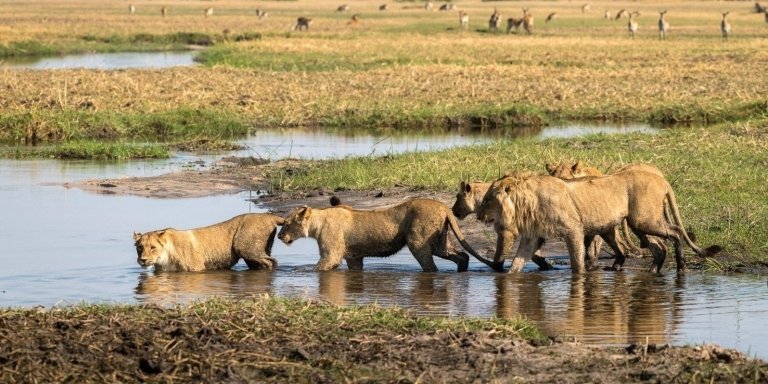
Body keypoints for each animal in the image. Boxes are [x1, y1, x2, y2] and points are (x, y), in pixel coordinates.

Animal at [134, 213, 284, 272]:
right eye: (139, 248)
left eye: (153, 247)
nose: (143, 260)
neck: (164, 259)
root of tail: (269, 215)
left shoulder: (198, 269)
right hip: (252, 254)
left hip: (244, 247)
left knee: (272, 262)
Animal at [276, 198, 498, 272]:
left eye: (286, 223)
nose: (279, 237)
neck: (317, 222)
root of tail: (443, 206)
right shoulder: (353, 257)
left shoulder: (332, 254)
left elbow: (320, 267)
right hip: (440, 243)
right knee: (462, 255)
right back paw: (462, 272)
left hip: (418, 241)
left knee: (431, 266)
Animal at [476, 170, 724, 272]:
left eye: (487, 199)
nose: (478, 216)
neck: (526, 200)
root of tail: (662, 180)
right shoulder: (532, 237)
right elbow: (517, 263)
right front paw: (507, 280)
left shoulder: (573, 229)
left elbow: (577, 262)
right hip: (638, 224)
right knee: (659, 247)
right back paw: (653, 270)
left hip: (645, 220)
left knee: (675, 233)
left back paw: (681, 266)